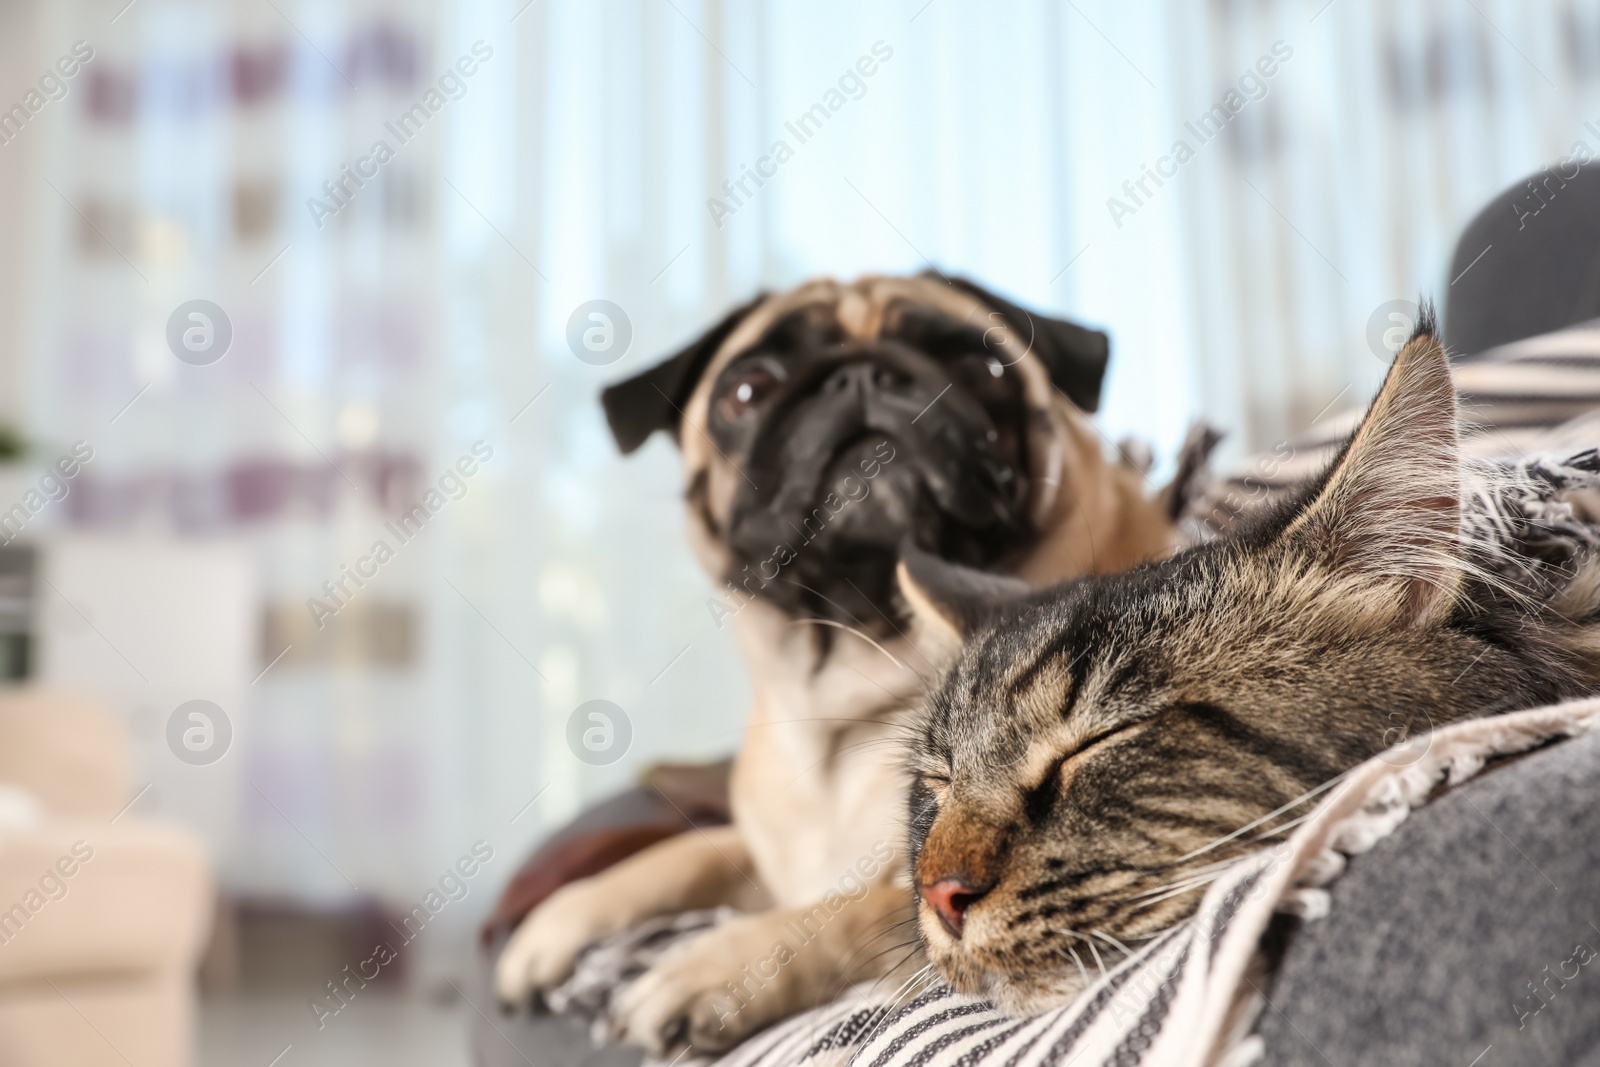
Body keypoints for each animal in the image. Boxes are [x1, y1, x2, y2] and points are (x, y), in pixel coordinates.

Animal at [492, 273, 1184, 1049]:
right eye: (747, 390)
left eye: (984, 365)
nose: (860, 377)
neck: (852, 700)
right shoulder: (763, 851)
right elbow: (686, 854)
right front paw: (563, 917)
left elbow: (835, 915)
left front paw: (714, 967)